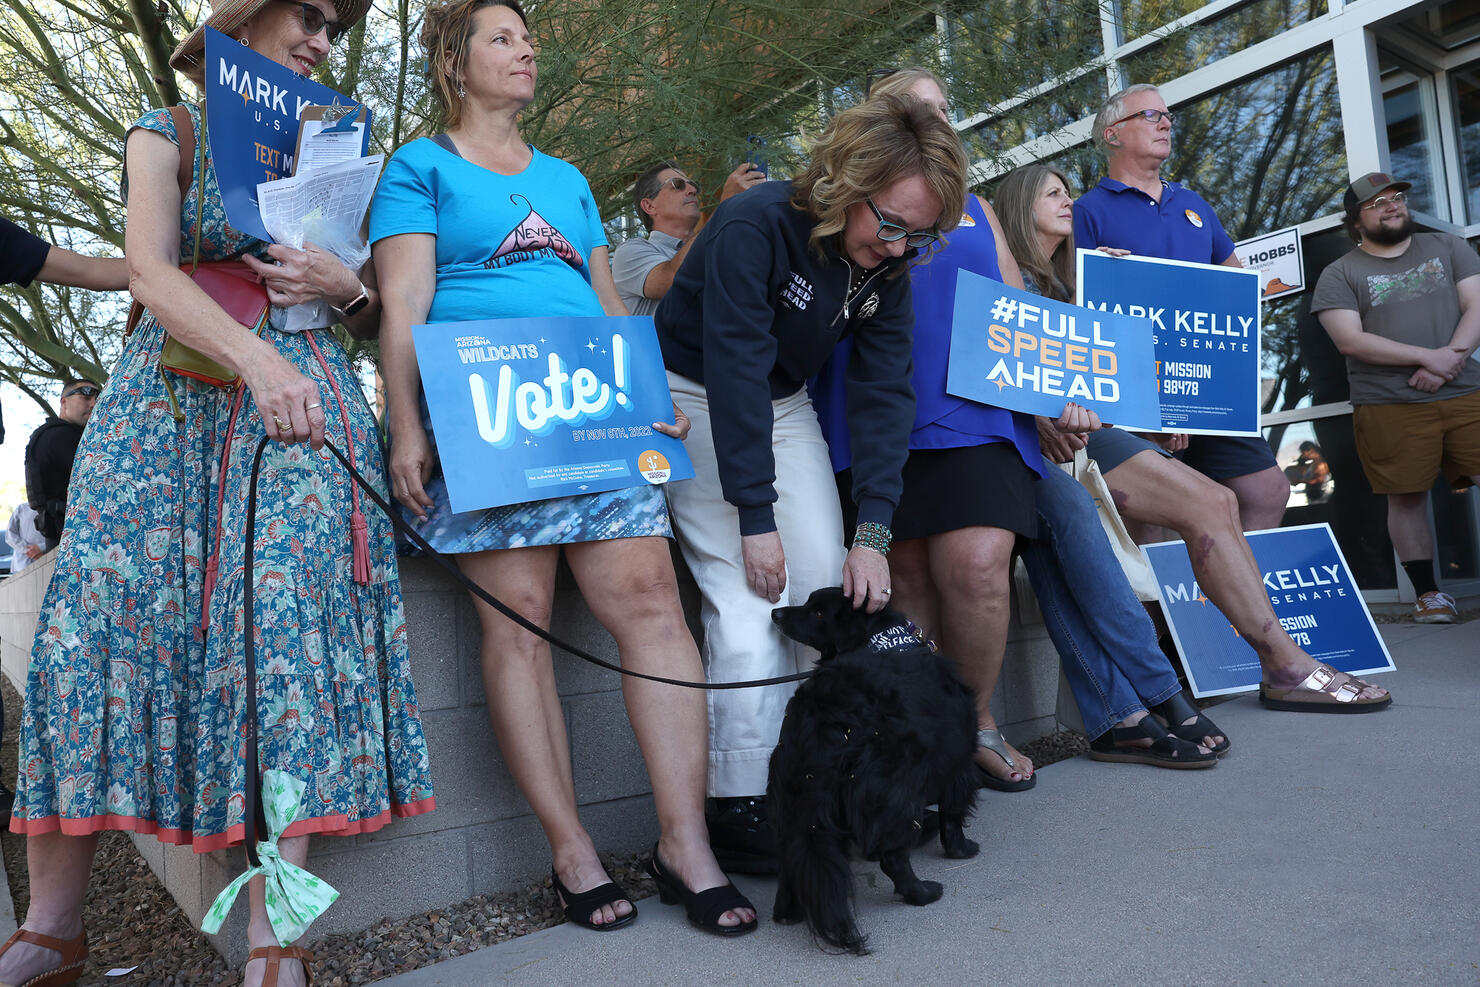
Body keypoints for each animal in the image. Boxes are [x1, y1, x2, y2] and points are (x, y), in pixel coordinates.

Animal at [769, 591, 976, 952]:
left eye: (817, 610)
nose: (775, 614)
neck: (881, 637)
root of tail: (820, 714)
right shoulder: (957, 762)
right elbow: (953, 814)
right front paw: (961, 851)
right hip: (895, 792)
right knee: (893, 857)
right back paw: (923, 893)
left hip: (794, 801)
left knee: (791, 858)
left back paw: (785, 912)